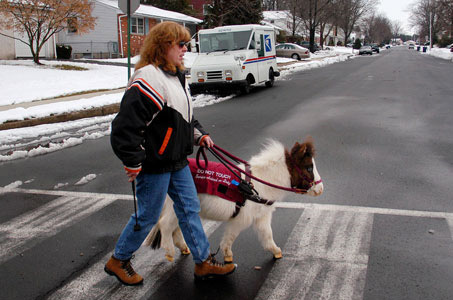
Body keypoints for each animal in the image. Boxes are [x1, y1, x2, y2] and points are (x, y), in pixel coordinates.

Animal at [143, 138, 324, 262]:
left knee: (176, 230)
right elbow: (230, 237)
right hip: (175, 207)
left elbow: (267, 234)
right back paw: (169, 252)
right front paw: (227, 255)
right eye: (309, 168)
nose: (321, 189)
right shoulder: (241, 219)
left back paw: (184, 249)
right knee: (165, 225)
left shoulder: (261, 216)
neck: (258, 183)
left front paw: (276, 252)